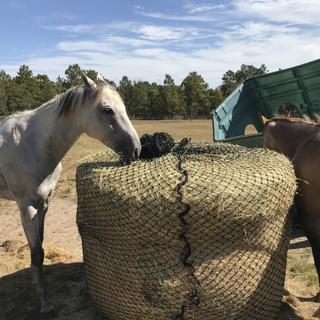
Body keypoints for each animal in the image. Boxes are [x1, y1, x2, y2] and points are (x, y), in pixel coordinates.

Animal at [0, 72, 141, 312]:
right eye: (107, 109)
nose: (137, 149)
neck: (30, 144)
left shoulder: (44, 203)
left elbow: (40, 248)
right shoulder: (27, 206)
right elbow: (37, 254)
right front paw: (45, 304)